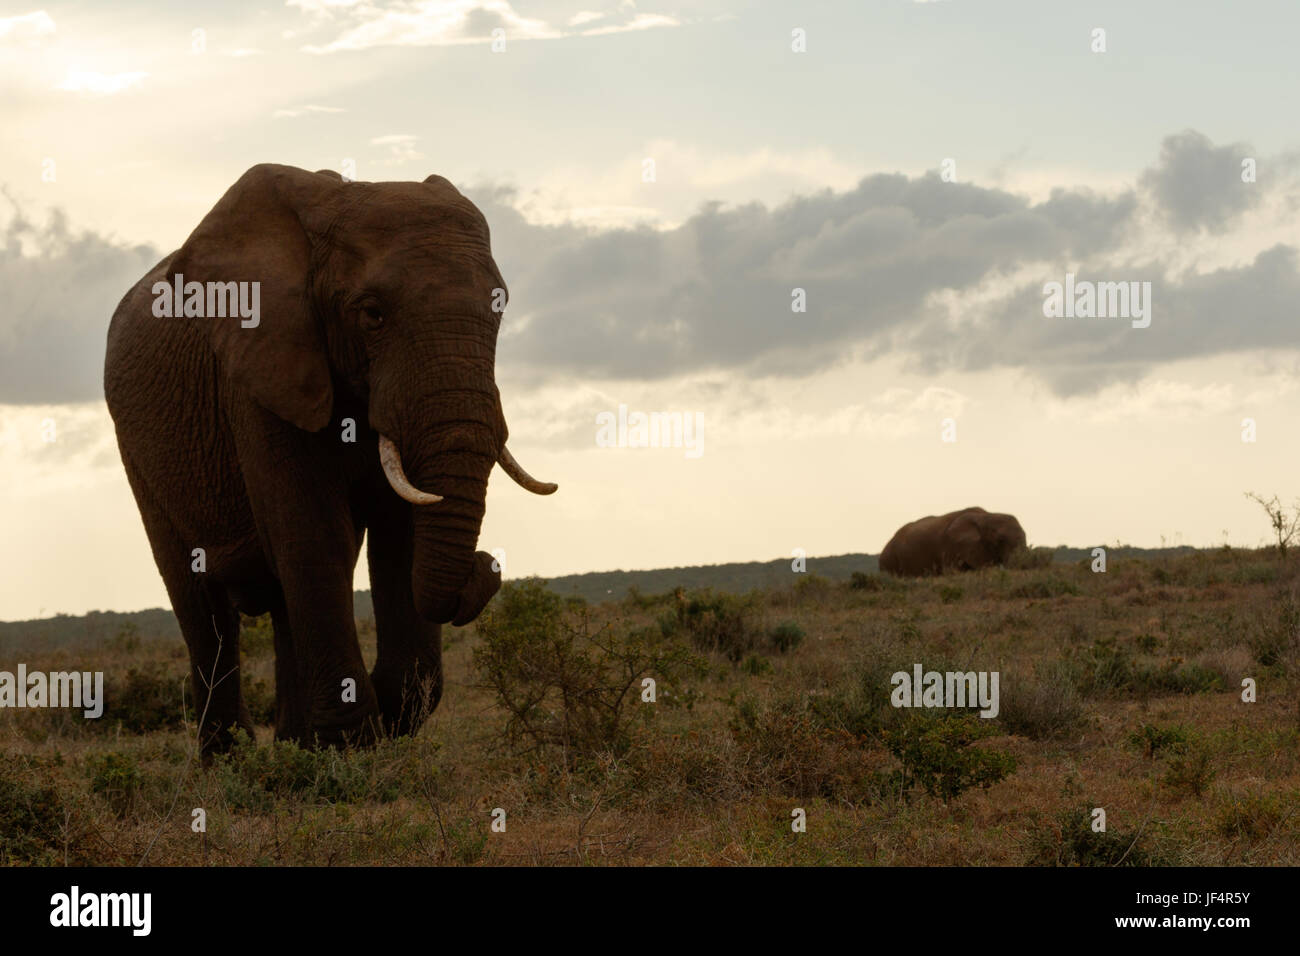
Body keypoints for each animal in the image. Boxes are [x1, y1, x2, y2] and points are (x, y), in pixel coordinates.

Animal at [105, 164, 553, 754]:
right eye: (372, 314)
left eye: (499, 310)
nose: (488, 565)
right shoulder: (259, 368)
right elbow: (316, 531)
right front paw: (354, 743)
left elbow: (398, 530)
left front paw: (374, 721)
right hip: (138, 448)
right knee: (200, 598)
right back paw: (231, 758)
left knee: (281, 594)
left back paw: (295, 748)